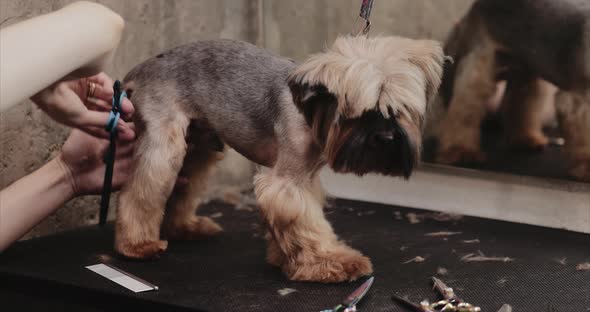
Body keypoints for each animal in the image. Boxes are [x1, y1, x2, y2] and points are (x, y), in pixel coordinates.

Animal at [114, 36, 444, 282]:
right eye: (361, 113)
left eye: (400, 109)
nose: (386, 138)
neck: (313, 112)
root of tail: (138, 72)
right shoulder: (286, 182)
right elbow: (306, 224)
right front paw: (332, 262)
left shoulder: (305, 179)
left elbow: (292, 223)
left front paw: (281, 257)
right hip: (163, 145)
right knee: (140, 190)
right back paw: (137, 245)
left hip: (197, 147)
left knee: (183, 186)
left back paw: (184, 228)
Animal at [434, 0, 590, 182]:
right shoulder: (577, 101)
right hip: (481, 58)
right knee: (467, 104)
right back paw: (461, 152)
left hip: (527, 66)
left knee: (521, 100)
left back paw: (525, 139)